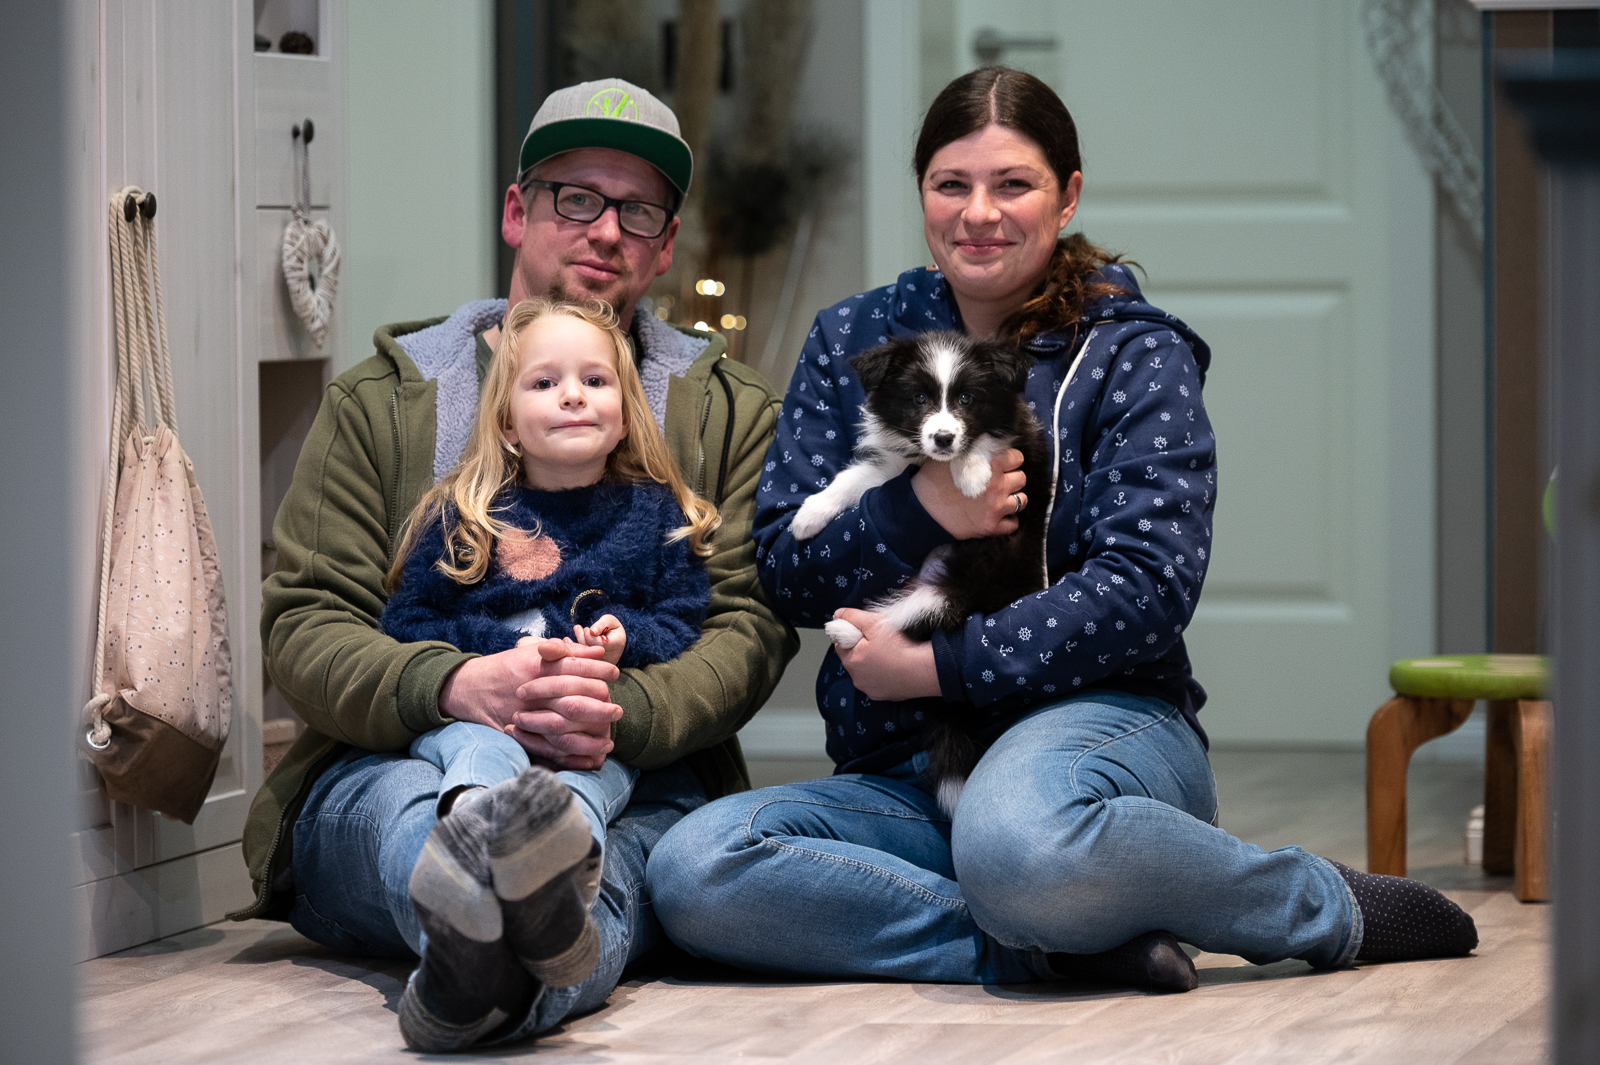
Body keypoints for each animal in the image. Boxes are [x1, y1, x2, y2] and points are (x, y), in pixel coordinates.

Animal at [789, 331, 1051, 813]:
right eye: (919, 399)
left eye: (967, 398)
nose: (944, 439)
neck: (932, 463)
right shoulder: (892, 469)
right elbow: (854, 479)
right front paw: (809, 515)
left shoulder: (1023, 441)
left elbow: (989, 442)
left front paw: (972, 473)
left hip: (958, 588)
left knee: (903, 622)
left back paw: (845, 630)